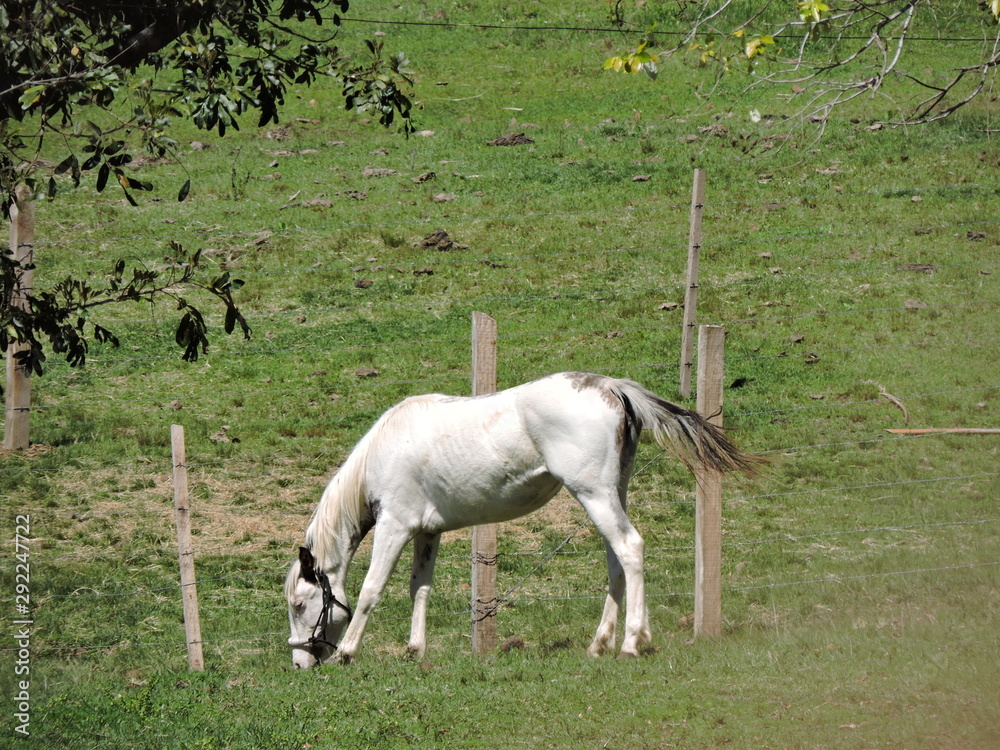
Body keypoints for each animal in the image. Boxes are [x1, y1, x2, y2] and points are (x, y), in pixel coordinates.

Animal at [285, 371, 758, 667]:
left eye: (300, 604)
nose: (300, 661)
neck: (384, 450)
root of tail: (611, 387)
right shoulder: (427, 533)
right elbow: (419, 589)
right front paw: (415, 650)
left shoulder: (395, 527)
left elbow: (371, 590)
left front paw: (347, 652)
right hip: (610, 494)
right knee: (616, 561)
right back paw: (599, 644)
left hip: (594, 495)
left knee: (630, 548)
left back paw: (630, 643)